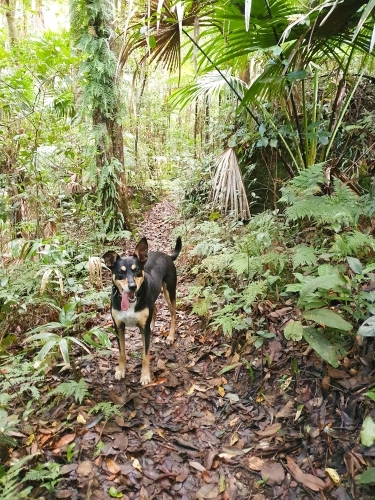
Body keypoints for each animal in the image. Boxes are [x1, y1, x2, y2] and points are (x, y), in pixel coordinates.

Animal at [101, 236, 181, 384]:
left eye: (136, 270)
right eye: (120, 272)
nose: (132, 287)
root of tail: (166, 255)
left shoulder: (144, 330)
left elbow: (145, 356)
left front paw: (145, 376)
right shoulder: (118, 327)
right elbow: (121, 353)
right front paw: (120, 370)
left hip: (169, 291)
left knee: (173, 314)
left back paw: (170, 336)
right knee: (155, 308)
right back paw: (153, 325)